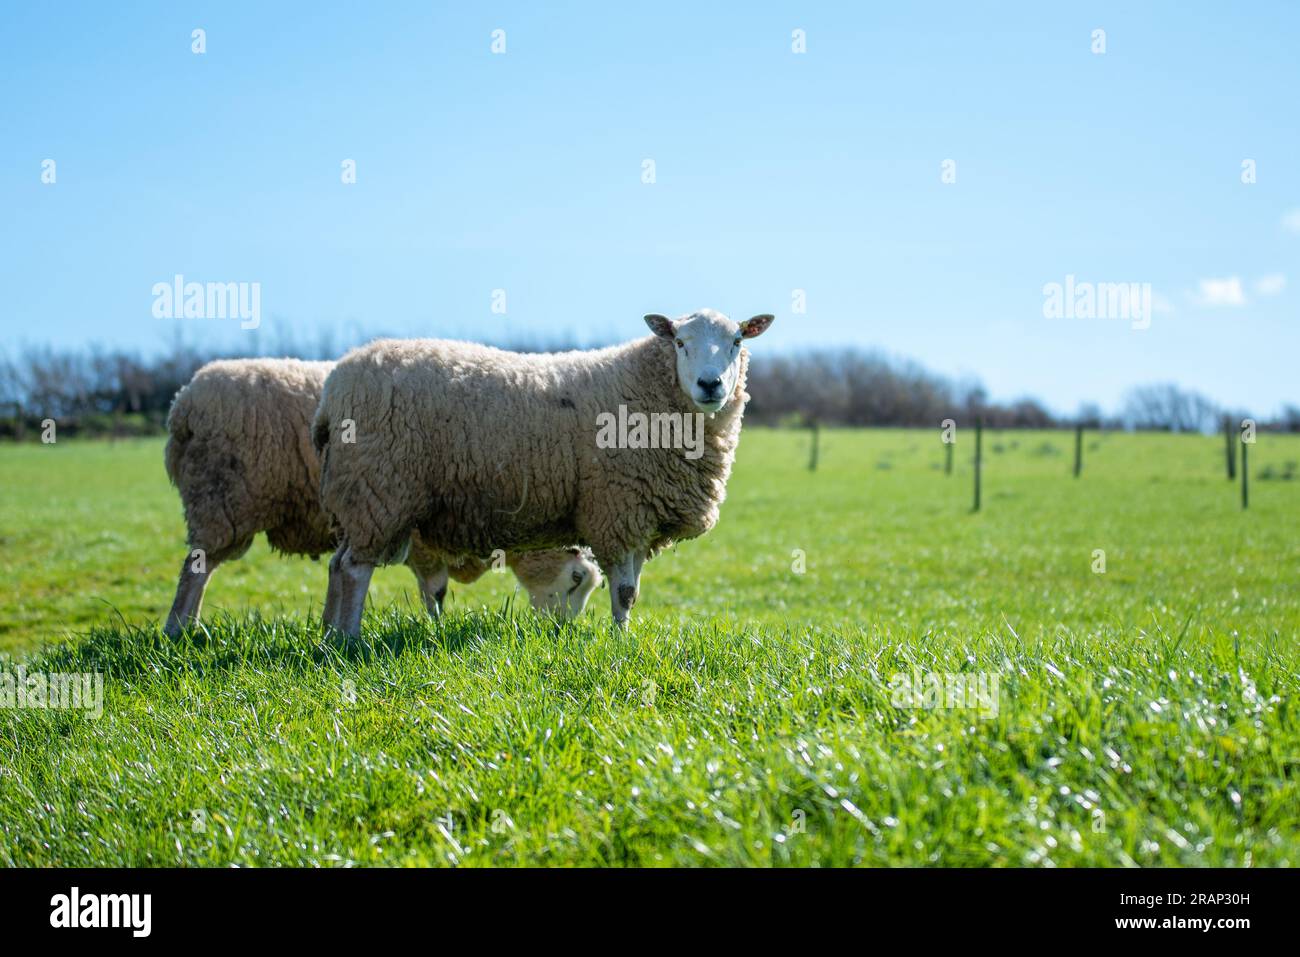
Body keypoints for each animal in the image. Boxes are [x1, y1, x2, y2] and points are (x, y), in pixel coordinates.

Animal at [163, 358, 603, 634]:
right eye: (577, 579)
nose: (561, 630)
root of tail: (180, 404)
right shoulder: (417, 535)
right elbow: (434, 589)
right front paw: (435, 626)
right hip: (224, 498)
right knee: (197, 568)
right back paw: (180, 629)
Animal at [315, 308, 774, 634]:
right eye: (679, 341)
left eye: (736, 341)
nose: (710, 385)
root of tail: (333, 387)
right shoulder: (616, 508)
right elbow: (625, 591)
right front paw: (620, 642)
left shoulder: (639, 516)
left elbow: (632, 592)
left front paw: (623, 637)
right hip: (380, 489)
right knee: (355, 568)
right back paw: (351, 639)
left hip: (360, 493)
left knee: (337, 564)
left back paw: (329, 636)